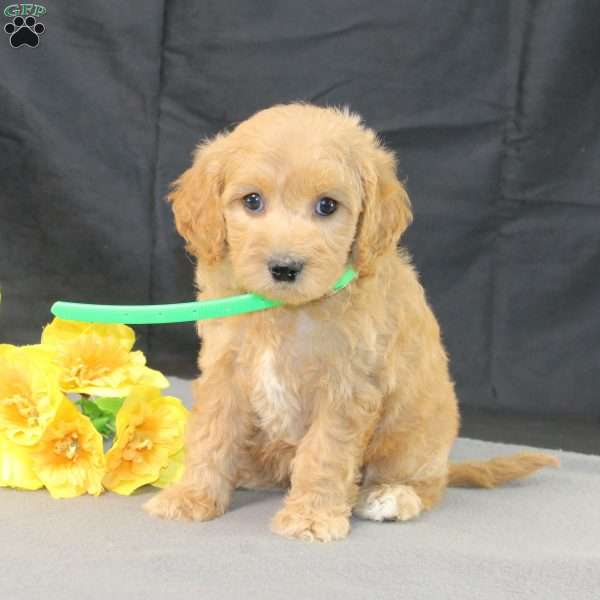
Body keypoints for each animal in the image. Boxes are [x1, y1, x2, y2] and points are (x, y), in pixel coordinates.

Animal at [145, 103, 556, 544]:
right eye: (252, 201)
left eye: (327, 206)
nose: (285, 268)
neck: (286, 312)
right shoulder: (225, 368)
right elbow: (212, 434)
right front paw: (191, 496)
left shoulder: (346, 386)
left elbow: (324, 453)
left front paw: (311, 516)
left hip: (416, 439)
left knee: (430, 484)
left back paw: (391, 497)